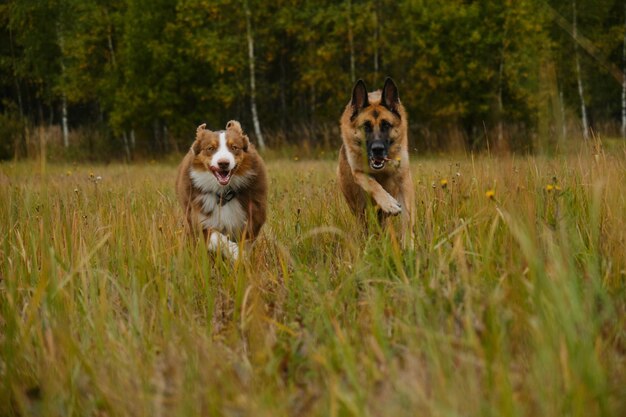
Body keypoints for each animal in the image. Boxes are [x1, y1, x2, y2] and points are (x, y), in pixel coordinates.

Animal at [174, 118, 266, 258]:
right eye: (210, 148)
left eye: (234, 147)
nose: (223, 163)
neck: (223, 194)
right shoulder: (199, 219)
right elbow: (217, 237)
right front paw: (236, 253)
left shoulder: (252, 216)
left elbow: (247, 240)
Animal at [336, 77, 414, 245]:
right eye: (366, 126)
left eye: (386, 125)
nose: (377, 149)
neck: (381, 171)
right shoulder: (358, 172)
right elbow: (372, 183)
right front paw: (388, 203)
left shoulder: (404, 181)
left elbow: (408, 217)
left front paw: (408, 243)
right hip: (358, 207)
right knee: (363, 223)